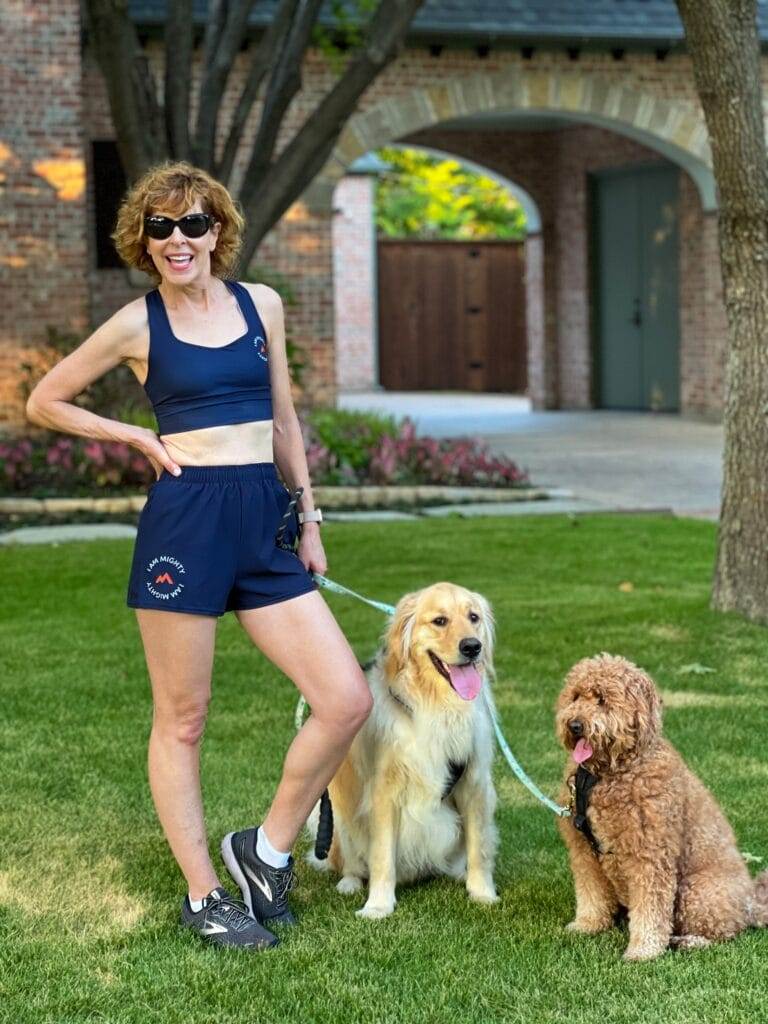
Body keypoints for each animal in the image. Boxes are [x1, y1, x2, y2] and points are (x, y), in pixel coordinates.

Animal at [557, 655, 765, 958]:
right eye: (574, 697)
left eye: (602, 700)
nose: (574, 724)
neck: (607, 774)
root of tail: (754, 904)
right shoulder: (584, 851)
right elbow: (591, 893)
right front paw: (587, 925)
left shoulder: (650, 855)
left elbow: (651, 908)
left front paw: (643, 951)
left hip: (697, 891)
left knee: (726, 933)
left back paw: (688, 941)